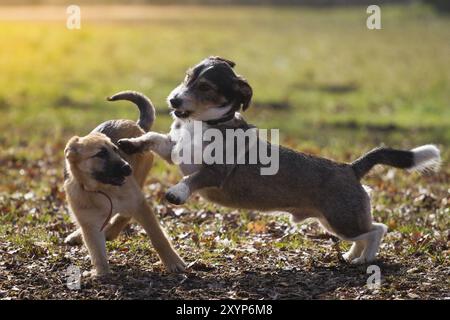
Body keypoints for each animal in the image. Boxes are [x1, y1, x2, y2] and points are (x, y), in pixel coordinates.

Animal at [63, 91, 185, 276]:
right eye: (100, 154)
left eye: (115, 150)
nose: (127, 168)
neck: (102, 189)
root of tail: (136, 125)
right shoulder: (90, 224)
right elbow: (97, 251)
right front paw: (101, 273)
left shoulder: (140, 205)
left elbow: (158, 237)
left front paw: (173, 262)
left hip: (139, 180)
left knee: (124, 215)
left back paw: (111, 230)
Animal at [118, 57, 442, 264]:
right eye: (188, 78)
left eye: (206, 87)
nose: (174, 101)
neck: (204, 124)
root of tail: (351, 168)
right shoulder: (172, 149)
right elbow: (154, 138)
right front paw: (130, 143)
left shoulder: (216, 172)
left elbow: (191, 178)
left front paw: (176, 192)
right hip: (334, 221)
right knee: (365, 233)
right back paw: (353, 257)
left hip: (342, 219)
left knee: (377, 230)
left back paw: (366, 259)